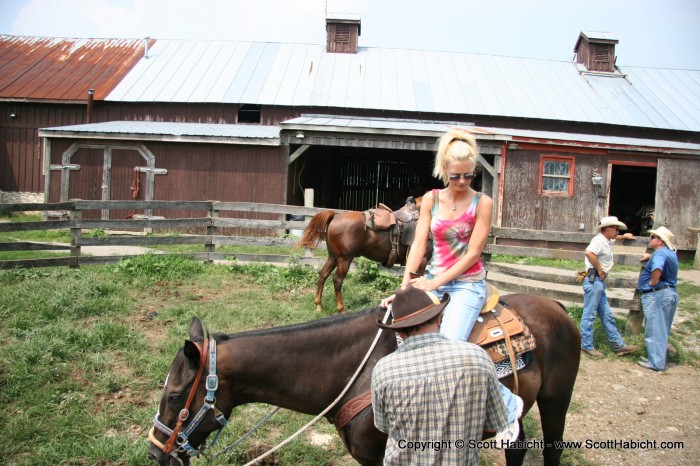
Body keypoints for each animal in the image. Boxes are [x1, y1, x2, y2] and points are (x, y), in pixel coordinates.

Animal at [296, 201, 430, 314]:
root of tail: (335, 216)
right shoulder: (422, 261)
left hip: (333, 257)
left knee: (323, 275)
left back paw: (318, 305)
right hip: (344, 259)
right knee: (337, 280)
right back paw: (341, 309)